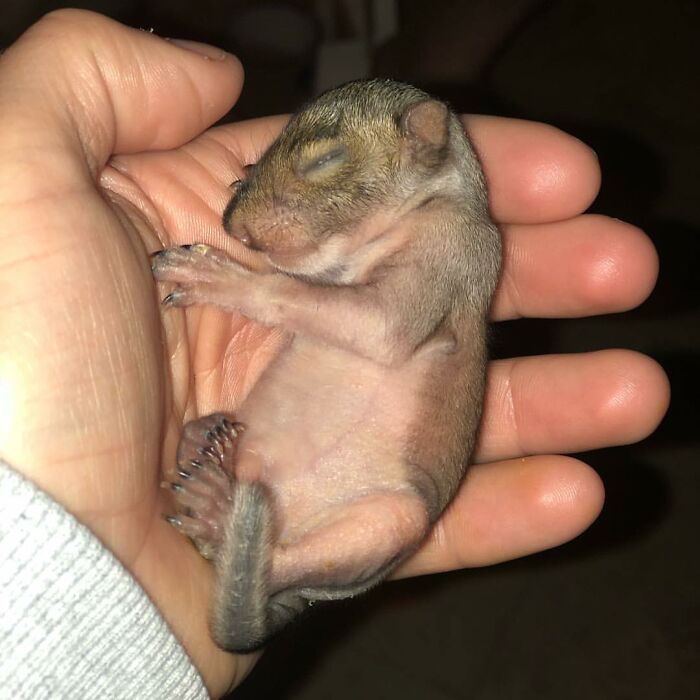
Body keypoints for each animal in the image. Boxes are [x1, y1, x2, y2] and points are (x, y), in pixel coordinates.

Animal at [152, 78, 501, 653]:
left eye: (326, 159)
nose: (233, 227)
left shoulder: (453, 251)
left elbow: (366, 320)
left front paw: (220, 277)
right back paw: (199, 442)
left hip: (390, 521)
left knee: (278, 561)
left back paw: (217, 512)